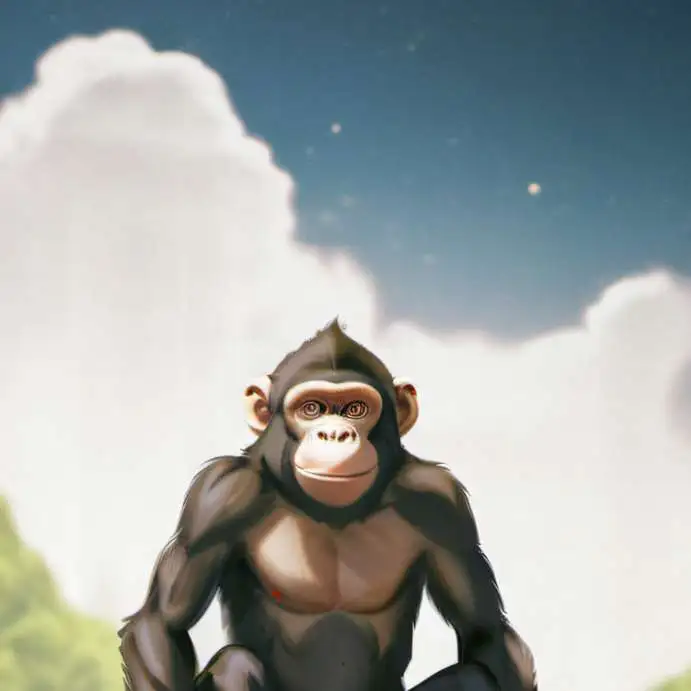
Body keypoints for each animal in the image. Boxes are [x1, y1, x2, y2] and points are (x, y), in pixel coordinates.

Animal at [119, 319, 537, 691]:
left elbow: (484, 631)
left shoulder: (441, 503)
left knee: (474, 677)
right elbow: (163, 623)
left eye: (355, 408)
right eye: (311, 409)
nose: (335, 433)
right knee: (234, 665)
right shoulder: (217, 499)